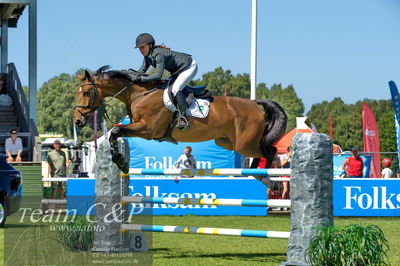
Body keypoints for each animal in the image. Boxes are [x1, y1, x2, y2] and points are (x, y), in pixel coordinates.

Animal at [74, 66, 288, 172]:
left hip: (245, 144)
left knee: (270, 151)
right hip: (228, 142)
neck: (139, 94)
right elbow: (115, 134)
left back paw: (267, 180)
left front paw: (120, 161)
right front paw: (120, 161)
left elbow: (118, 130)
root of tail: (254, 103)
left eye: (86, 93)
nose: (77, 121)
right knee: (263, 153)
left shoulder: (147, 129)